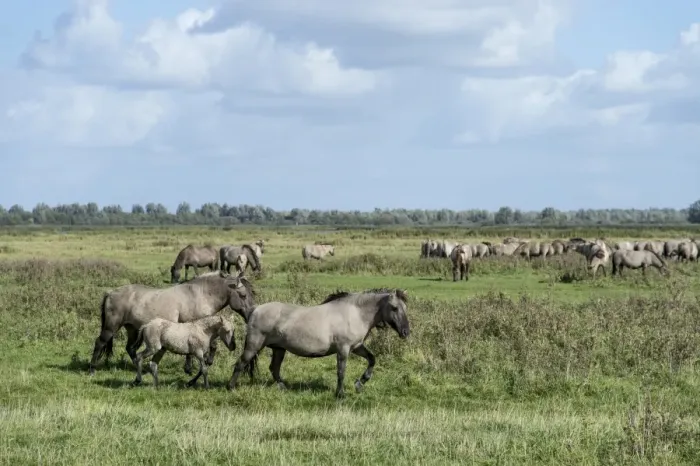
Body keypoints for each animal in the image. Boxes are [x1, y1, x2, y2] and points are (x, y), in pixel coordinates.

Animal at [226, 288, 410, 398]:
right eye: (394, 308)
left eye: (405, 308)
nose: (406, 332)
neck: (355, 313)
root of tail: (254, 310)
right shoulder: (343, 349)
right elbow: (341, 372)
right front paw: (340, 394)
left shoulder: (356, 347)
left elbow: (372, 359)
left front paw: (360, 383)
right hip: (254, 345)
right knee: (240, 363)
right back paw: (231, 387)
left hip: (279, 349)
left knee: (274, 368)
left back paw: (283, 387)